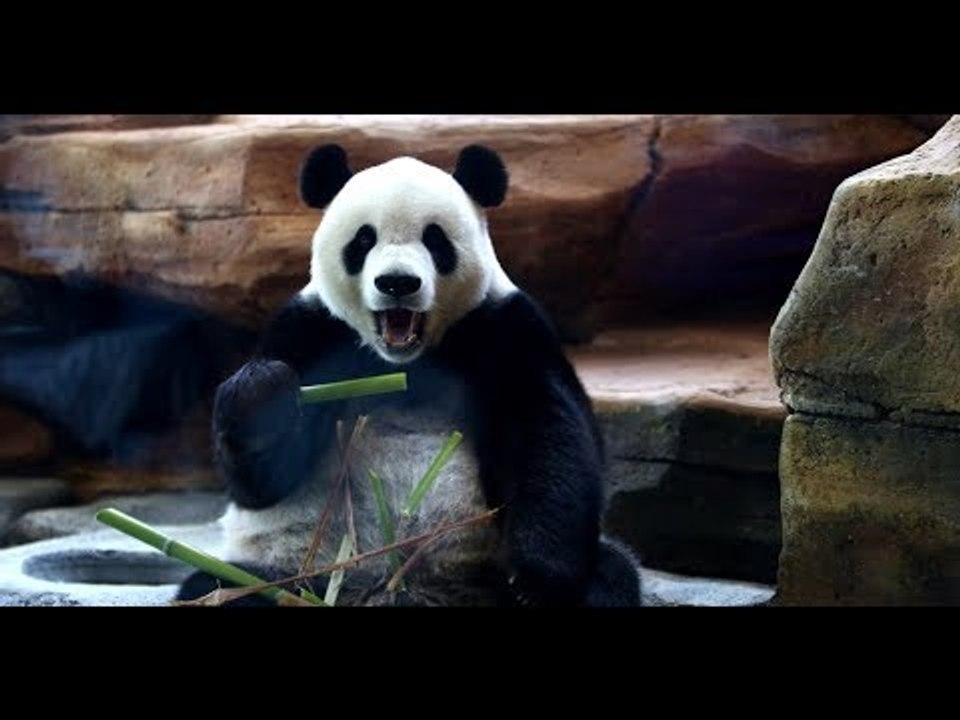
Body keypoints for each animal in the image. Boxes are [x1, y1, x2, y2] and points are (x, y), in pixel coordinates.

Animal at [177, 144, 642, 607]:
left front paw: (538, 580)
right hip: (289, 569)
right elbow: (261, 483)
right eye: (364, 240)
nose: (397, 283)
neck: (404, 362)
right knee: (219, 587)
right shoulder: (311, 330)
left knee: (612, 575)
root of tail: (402, 590)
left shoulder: (504, 327)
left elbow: (549, 436)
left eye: (435, 239)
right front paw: (262, 394)